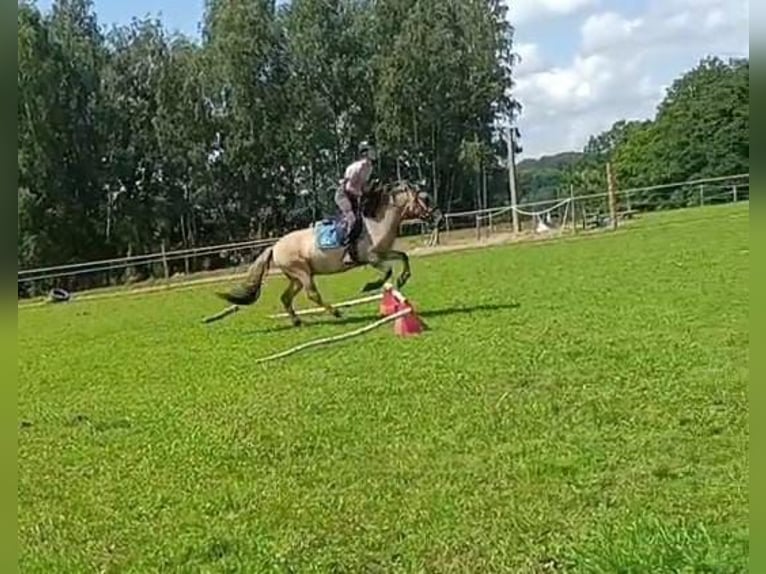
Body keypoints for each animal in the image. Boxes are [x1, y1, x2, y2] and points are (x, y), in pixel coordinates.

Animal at [218, 180, 438, 326]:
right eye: (425, 199)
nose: (437, 216)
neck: (376, 223)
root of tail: (275, 246)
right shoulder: (372, 258)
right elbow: (387, 271)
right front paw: (371, 286)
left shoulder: (384, 252)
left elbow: (403, 256)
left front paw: (403, 278)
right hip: (302, 273)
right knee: (312, 295)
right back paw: (336, 313)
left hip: (296, 277)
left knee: (286, 298)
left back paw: (298, 321)